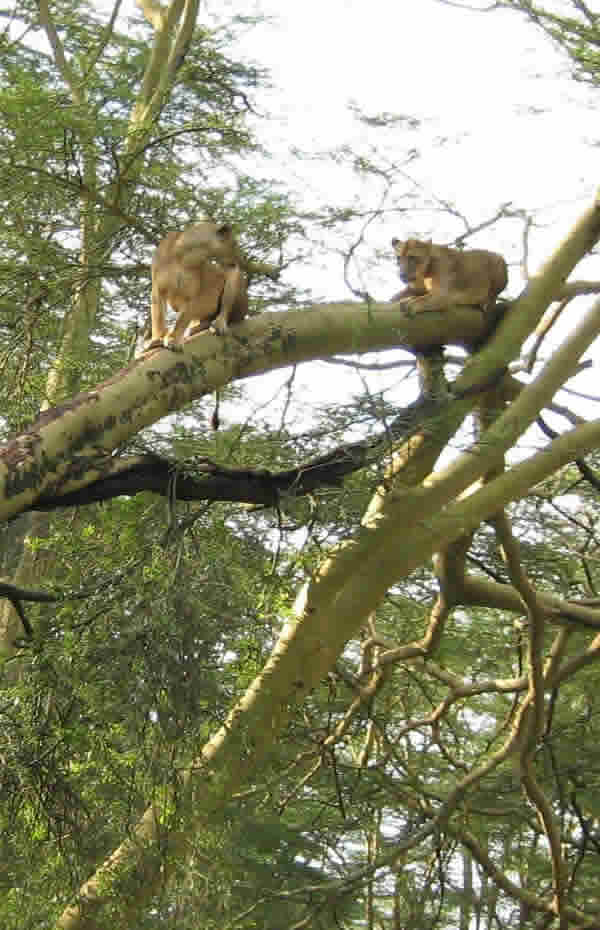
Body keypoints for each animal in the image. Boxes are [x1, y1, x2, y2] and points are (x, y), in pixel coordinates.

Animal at [146, 219, 248, 350]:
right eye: (235, 244)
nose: (241, 260)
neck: (184, 257)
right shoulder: (158, 289)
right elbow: (158, 317)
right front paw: (156, 340)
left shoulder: (193, 295)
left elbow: (182, 319)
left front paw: (173, 339)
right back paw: (196, 328)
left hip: (234, 277)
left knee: (226, 311)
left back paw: (217, 324)